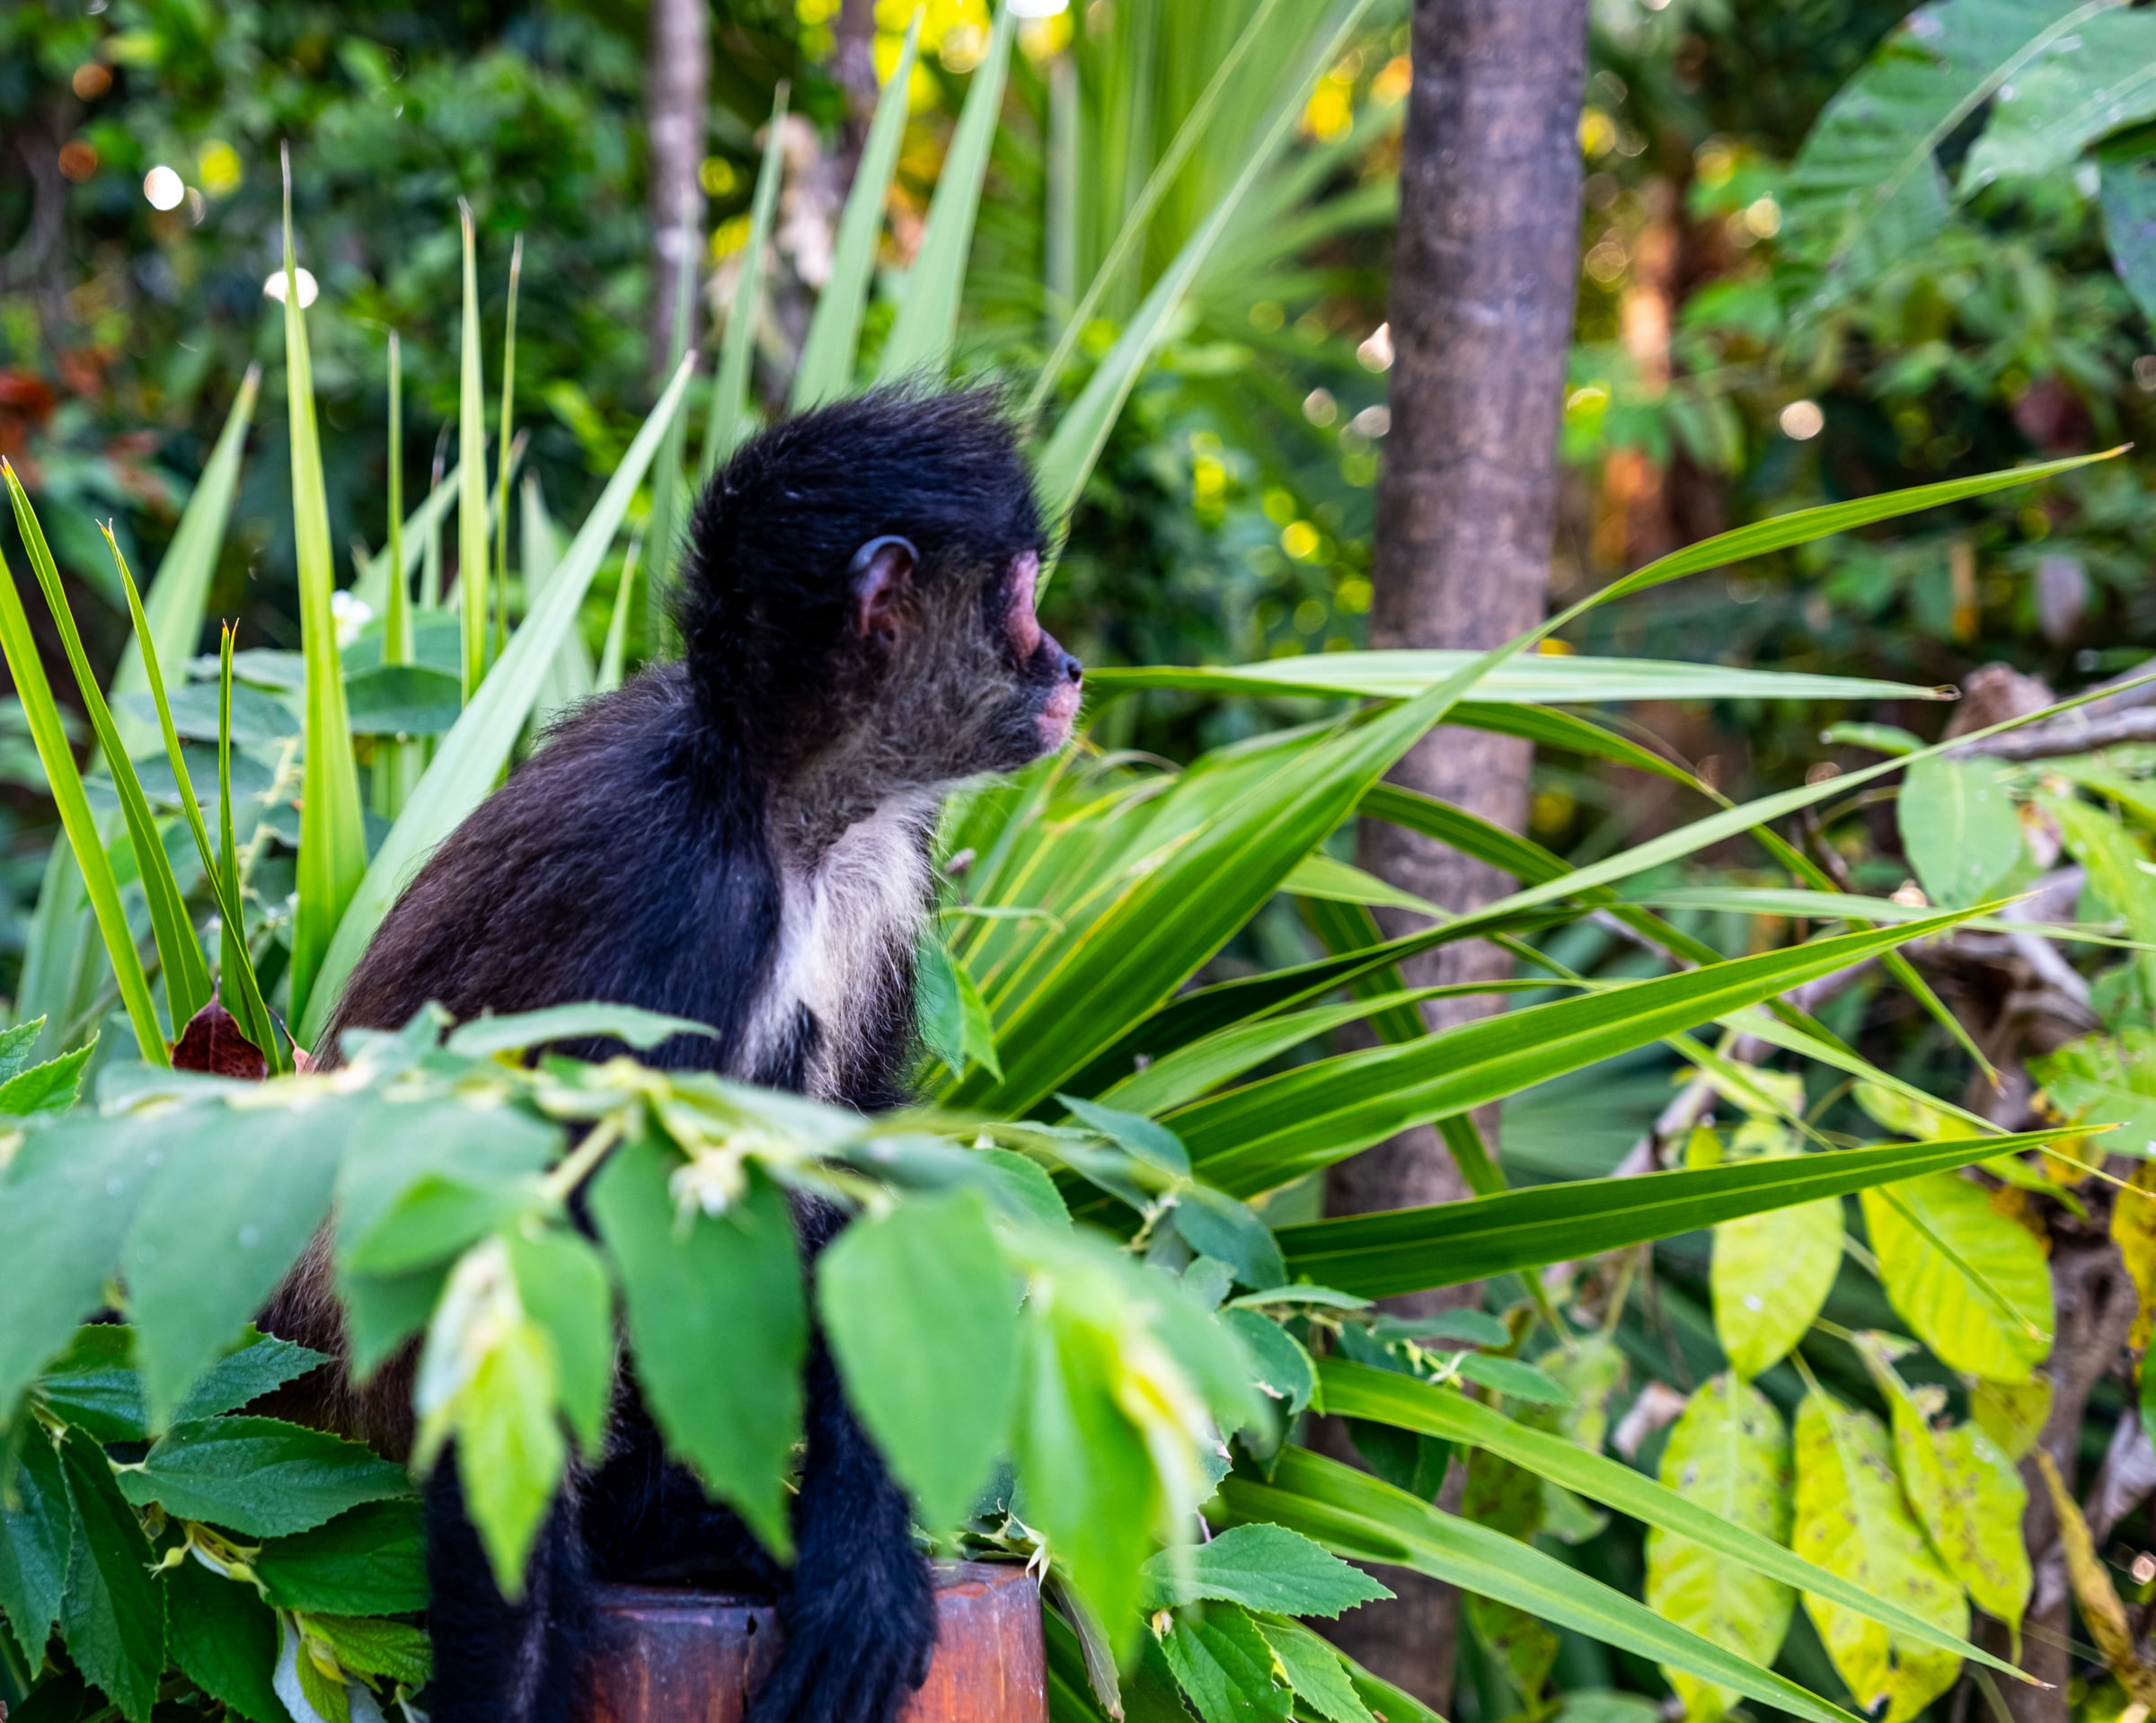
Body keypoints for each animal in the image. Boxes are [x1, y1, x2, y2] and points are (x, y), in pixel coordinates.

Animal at [261, 386, 1083, 1723]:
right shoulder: (672, 901)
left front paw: (865, 1565)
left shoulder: (885, 857)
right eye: (1019, 600)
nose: (1065, 663)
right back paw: (660, 1522)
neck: (772, 804)